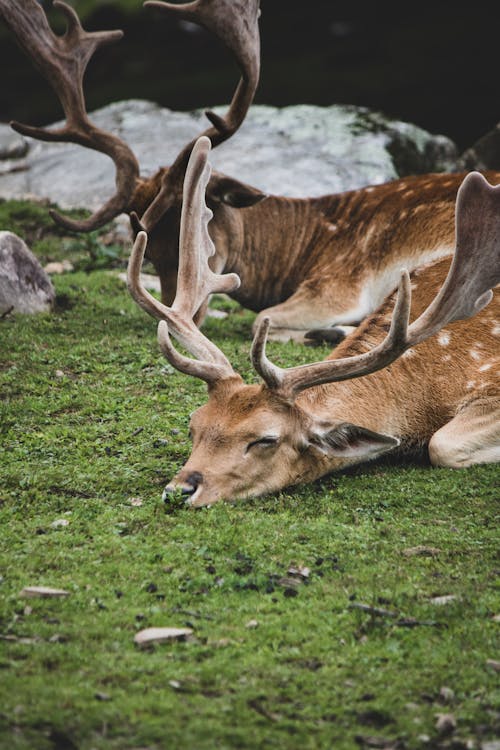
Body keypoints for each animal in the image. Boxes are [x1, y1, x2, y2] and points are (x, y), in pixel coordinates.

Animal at [3, 0, 500, 346]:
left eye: (200, 231)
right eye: (147, 253)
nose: (181, 315)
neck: (301, 247)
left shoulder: (341, 282)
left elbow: (262, 317)